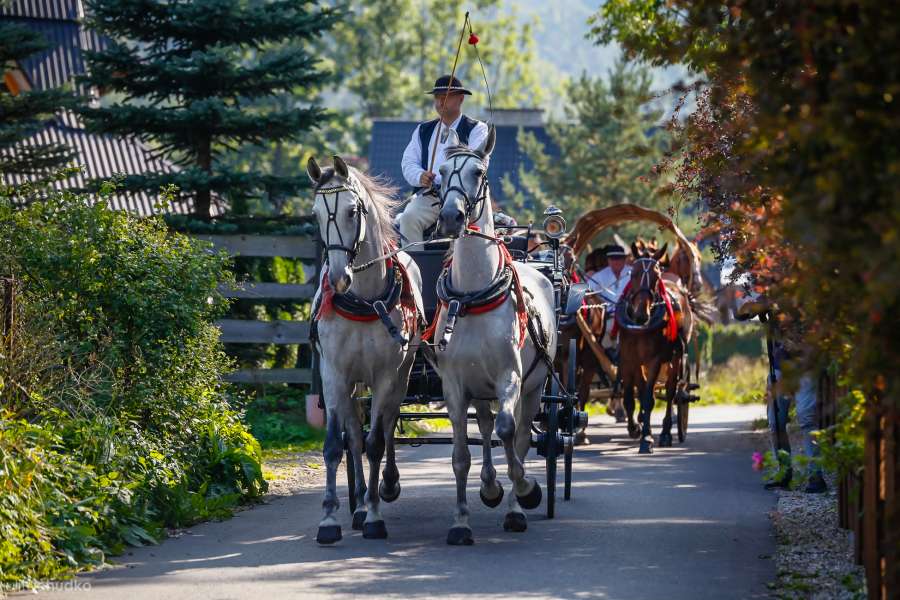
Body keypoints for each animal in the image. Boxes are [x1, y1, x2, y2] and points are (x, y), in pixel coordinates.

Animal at [308, 155, 424, 544]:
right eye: (315, 214)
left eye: (352, 210)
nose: (338, 278)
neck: (363, 299)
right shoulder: (334, 374)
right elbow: (336, 445)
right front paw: (330, 519)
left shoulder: (387, 375)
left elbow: (376, 442)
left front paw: (375, 514)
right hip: (352, 384)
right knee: (354, 436)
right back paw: (357, 504)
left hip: (401, 376)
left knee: (385, 426)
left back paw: (383, 488)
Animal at [428, 127, 556, 548]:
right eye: (440, 173)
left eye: (479, 172)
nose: (451, 217)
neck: (472, 293)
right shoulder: (454, 385)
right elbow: (460, 455)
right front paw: (460, 522)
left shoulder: (509, 379)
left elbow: (509, 435)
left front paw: (526, 491)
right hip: (479, 389)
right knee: (484, 430)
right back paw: (490, 487)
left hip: (533, 387)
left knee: (518, 435)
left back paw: (516, 504)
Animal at [616, 241, 692, 452]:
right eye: (632, 274)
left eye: (656, 276)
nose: (641, 315)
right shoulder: (628, 359)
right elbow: (632, 396)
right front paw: (635, 427)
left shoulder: (655, 360)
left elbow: (649, 397)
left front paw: (647, 438)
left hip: (675, 357)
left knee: (671, 390)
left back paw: (666, 432)